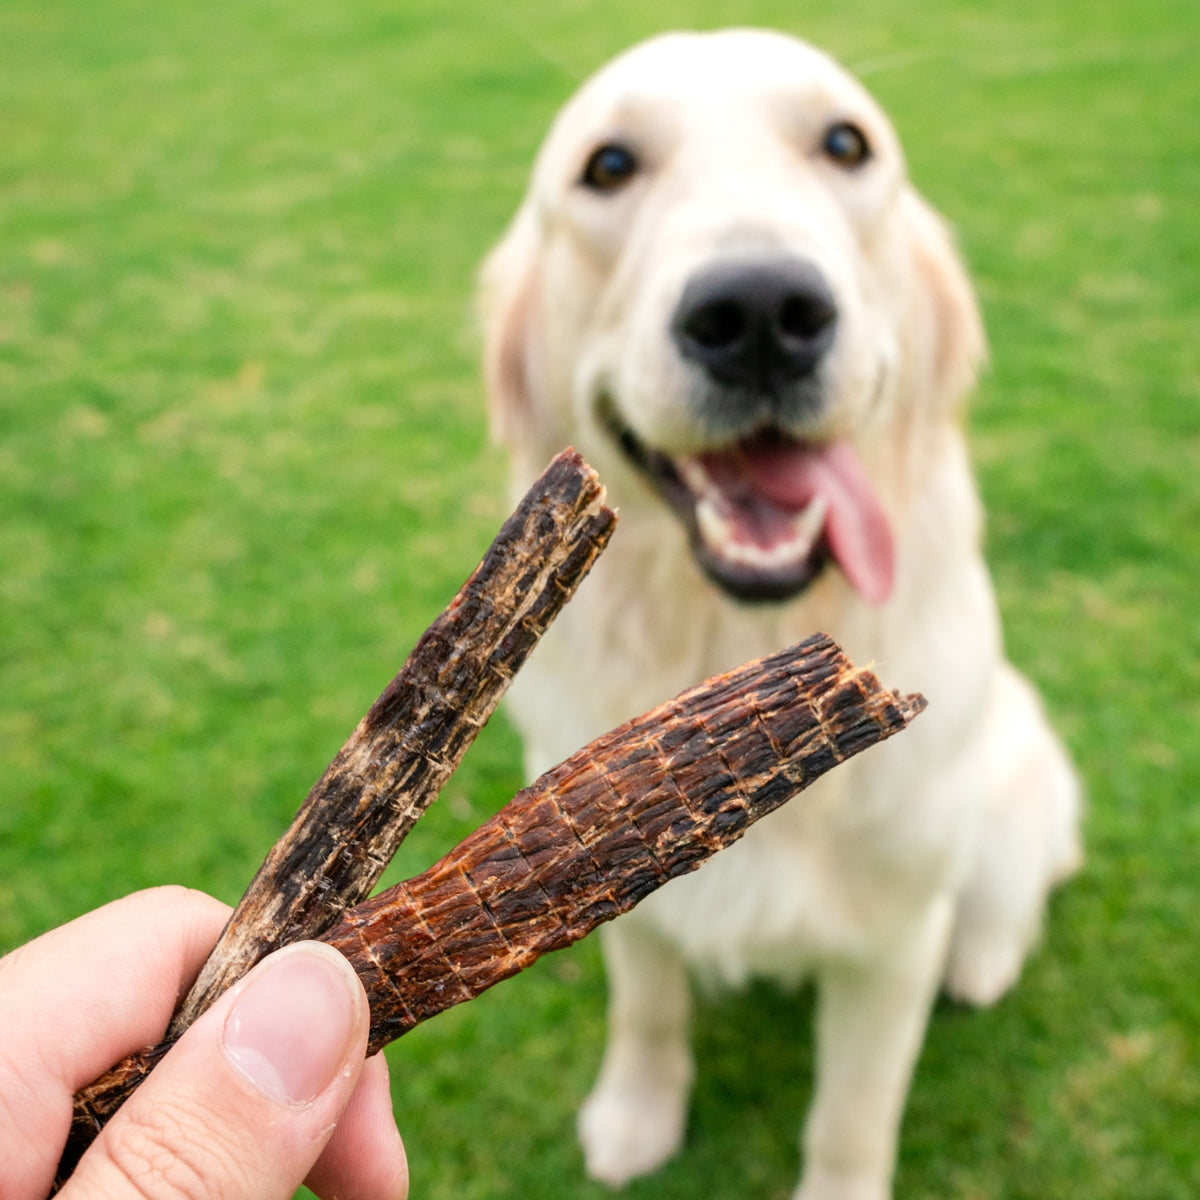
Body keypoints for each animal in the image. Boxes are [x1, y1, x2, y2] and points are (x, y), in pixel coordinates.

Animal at [475, 30, 1080, 1200]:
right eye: (607, 166)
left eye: (846, 145)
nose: (759, 312)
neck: (732, 639)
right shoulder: (623, 899)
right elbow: (647, 1011)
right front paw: (636, 1116)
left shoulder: (891, 941)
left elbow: (851, 1112)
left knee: (1013, 883)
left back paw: (983, 961)